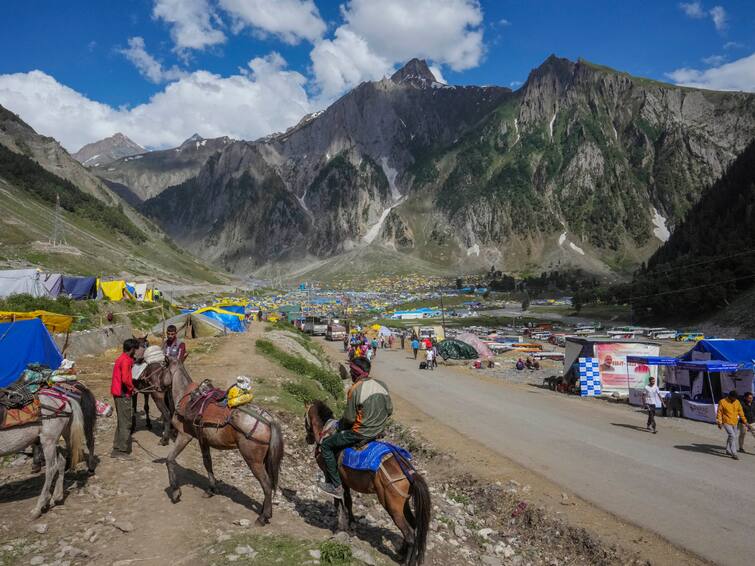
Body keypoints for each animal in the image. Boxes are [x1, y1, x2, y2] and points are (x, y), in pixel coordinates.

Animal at [0, 386, 97, 524]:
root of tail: (65, 399)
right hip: (61, 435)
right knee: (62, 461)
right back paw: (56, 497)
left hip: (48, 440)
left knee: (51, 468)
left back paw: (39, 507)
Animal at [157, 362, 284, 524]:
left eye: (162, 369)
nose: (158, 386)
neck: (185, 395)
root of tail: (269, 420)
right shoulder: (203, 441)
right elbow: (207, 463)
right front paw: (211, 489)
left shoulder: (185, 436)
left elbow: (170, 459)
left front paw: (175, 492)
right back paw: (265, 511)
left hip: (253, 460)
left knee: (266, 485)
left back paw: (263, 517)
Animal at [302, 402, 432, 564]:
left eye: (305, 416)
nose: (308, 439)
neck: (325, 432)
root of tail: (410, 472)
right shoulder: (345, 481)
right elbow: (348, 501)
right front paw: (351, 523)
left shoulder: (330, 475)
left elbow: (337, 498)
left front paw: (339, 523)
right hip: (404, 503)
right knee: (414, 526)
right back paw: (402, 553)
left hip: (392, 505)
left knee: (409, 534)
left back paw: (405, 561)